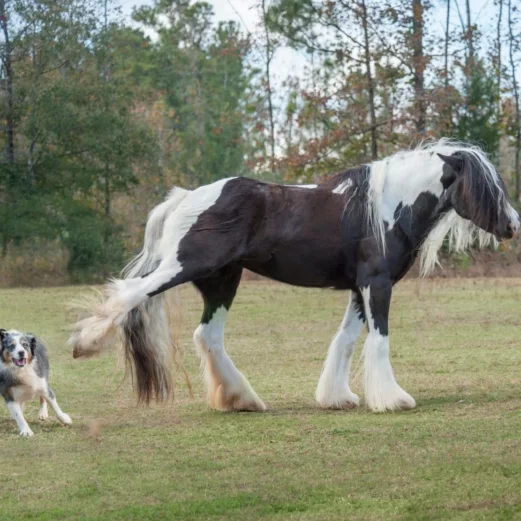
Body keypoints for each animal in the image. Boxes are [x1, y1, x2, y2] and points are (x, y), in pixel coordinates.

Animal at [68, 140, 516, 412]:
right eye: (486, 186)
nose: (513, 225)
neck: (386, 207)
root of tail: (186, 197)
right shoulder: (377, 284)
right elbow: (379, 341)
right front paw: (392, 399)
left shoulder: (359, 288)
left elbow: (346, 340)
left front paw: (337, 396)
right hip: (185, 266)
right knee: (130, 293)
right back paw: (84, 343)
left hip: (221, 280)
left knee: (206, 336)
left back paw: (241, 399)